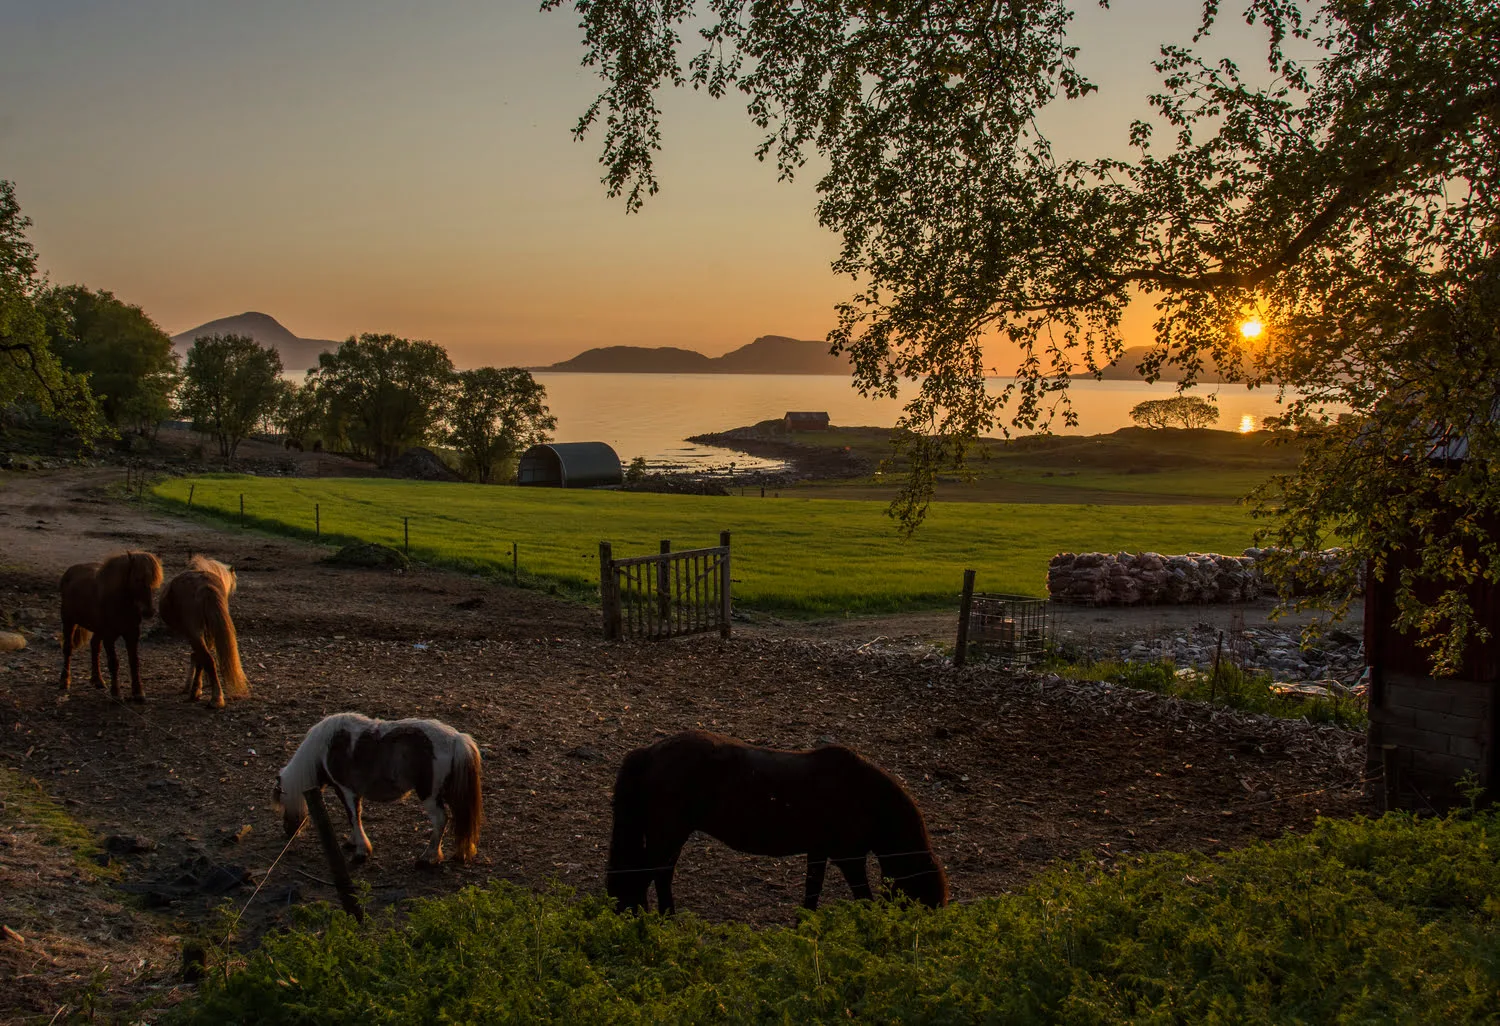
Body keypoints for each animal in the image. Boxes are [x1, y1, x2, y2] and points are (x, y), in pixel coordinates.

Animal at [58, 550, 163, 702]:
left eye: (155, 581)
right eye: (137, 579)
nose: (148, 612)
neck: (120, 602)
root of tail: (70, 572)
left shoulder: (132, 633)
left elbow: (134, 661)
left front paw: (138, 692)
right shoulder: (109, 636)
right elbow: (114, 663)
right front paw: (116, 694)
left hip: (97, 629)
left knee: (95, 646)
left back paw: (98, 680)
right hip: (68, 621)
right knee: (68, 648)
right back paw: (64, 681)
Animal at [158, 555, 249, 709]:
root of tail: (205, 586)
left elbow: (197, 657)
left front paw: (193, 689)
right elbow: (198, 658)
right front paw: (196, 689)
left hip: (194, 633)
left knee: (208, 659)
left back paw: (216, 698)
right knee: (205, 658)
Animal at [274, 712, 484, 866]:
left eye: (283, 803)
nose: (288, 831)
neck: (326, 748)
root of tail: (456, 738)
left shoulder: (346, 790)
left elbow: (353, 816)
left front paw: (361, 851)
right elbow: (355, 816)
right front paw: (353, 842)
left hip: (429, 795)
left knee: (440, 820)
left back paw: (427, 857)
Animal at [606, 730, 948, 914]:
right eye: (925, 900)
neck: (863, 793)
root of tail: (650, 752)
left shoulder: (819, 852)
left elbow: (812, 892)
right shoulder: (849, 859)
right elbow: (863, 899)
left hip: (671, 836)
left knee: (659, 875)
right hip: (668, 834)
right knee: (645, 876)